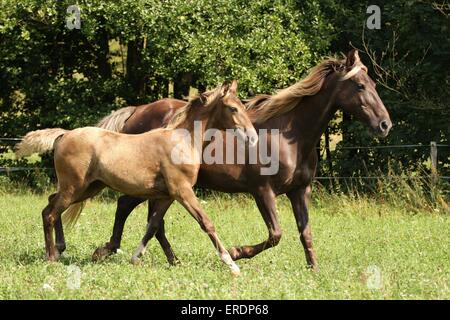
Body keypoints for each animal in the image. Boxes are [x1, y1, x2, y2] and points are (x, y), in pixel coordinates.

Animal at [16, 80, 256, 276]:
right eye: (233, 108)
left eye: (244, 107)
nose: (252, 137)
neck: (182, 140)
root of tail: (63, 134)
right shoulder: (182, 191)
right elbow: (206, 223)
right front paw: (232, 265)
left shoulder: (167, 195)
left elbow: (153, 226)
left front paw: (134, 257)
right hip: (74, 187)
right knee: (49, 213)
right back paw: (52, 257)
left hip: (88, 187)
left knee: (51, 204)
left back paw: (60, 249)